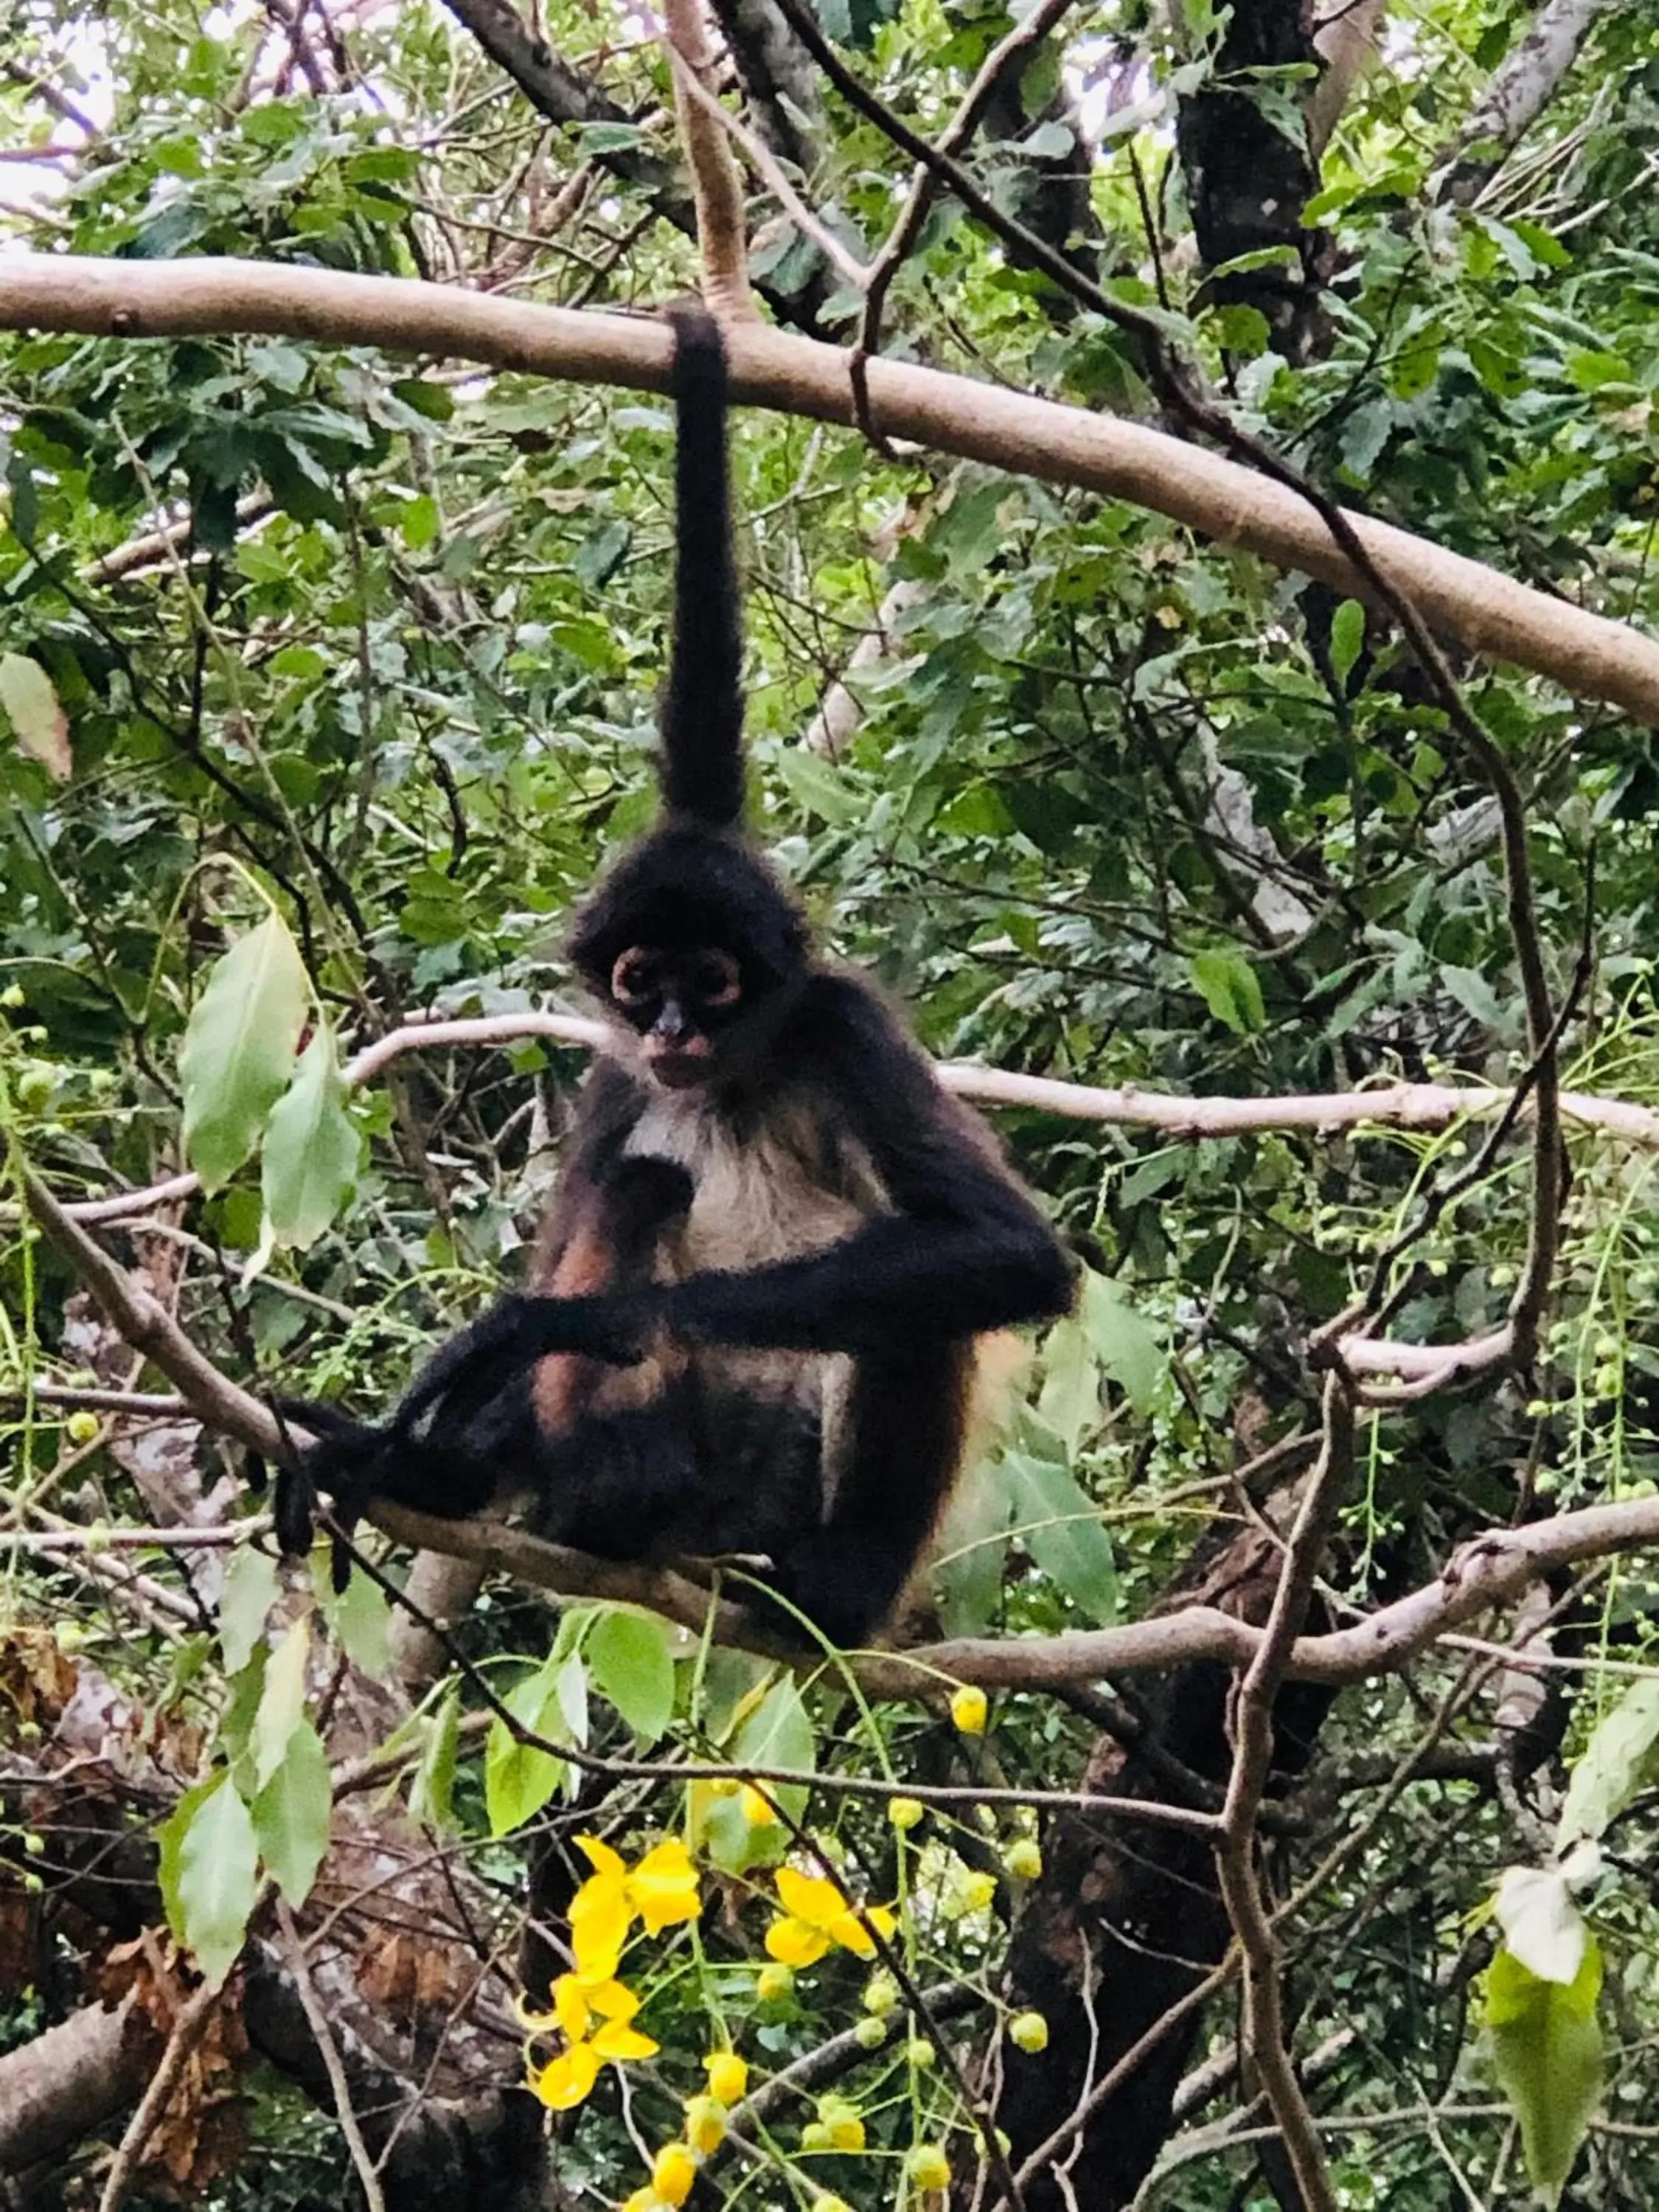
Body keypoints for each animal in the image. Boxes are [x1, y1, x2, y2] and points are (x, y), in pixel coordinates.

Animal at [276, 303, 1079, 1646]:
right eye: (639, 977)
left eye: (708, 982)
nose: (668, 1031)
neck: (730, 1081)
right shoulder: (613, 1082)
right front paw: (413, 1454)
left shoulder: (841, 1024)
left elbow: (1009, 1254)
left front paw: (575, 1322)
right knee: (641, 1192)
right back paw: (589, 1496)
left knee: (917, 1307)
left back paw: (832, 1589)